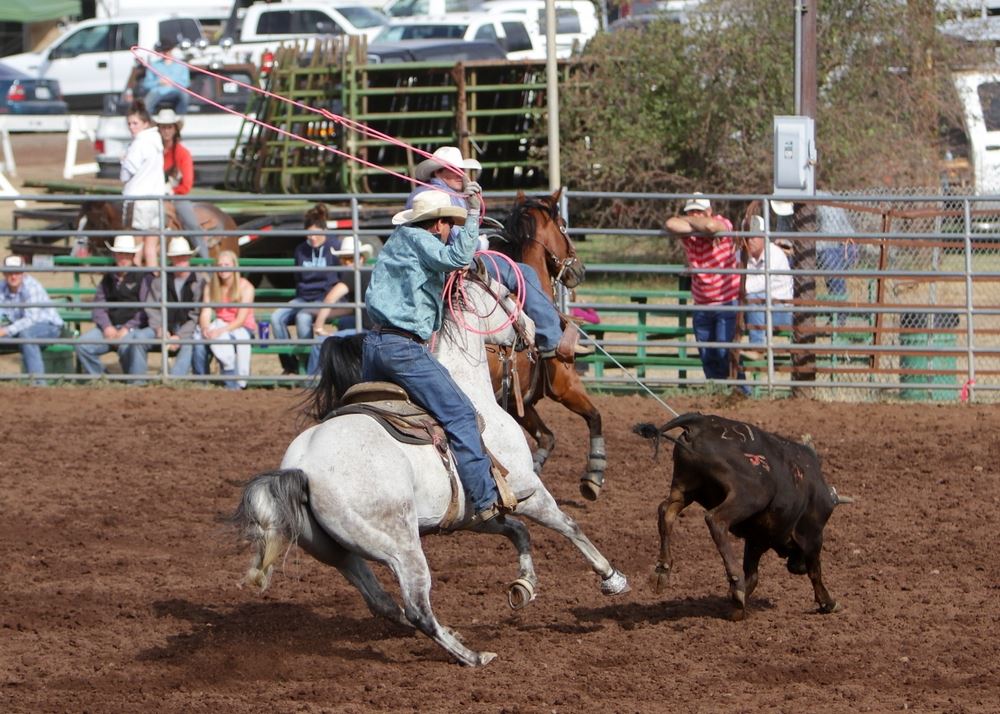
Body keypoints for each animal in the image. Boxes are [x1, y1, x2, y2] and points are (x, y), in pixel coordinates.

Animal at [634, 412, 851, 620]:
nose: (798, 567)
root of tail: (700, 421)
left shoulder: (755, 540)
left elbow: (753, 576)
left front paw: (736, 606)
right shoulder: (812, 535)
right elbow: (815, 572)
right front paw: (828, 603)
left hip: (684, 488)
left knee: (666, 511)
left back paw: (662, 570)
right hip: (751, 494)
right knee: (716, 520)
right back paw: (735, 579)